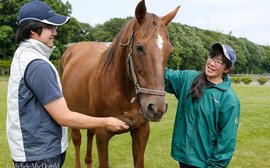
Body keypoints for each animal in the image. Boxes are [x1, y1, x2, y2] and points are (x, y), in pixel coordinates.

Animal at [61, 0, 179, 167]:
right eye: (139, 47)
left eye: (169, 51)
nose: (157, 108)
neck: (121, 90)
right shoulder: (103, 134)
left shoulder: (141, 131)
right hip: (73, 115)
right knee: (77, 140)